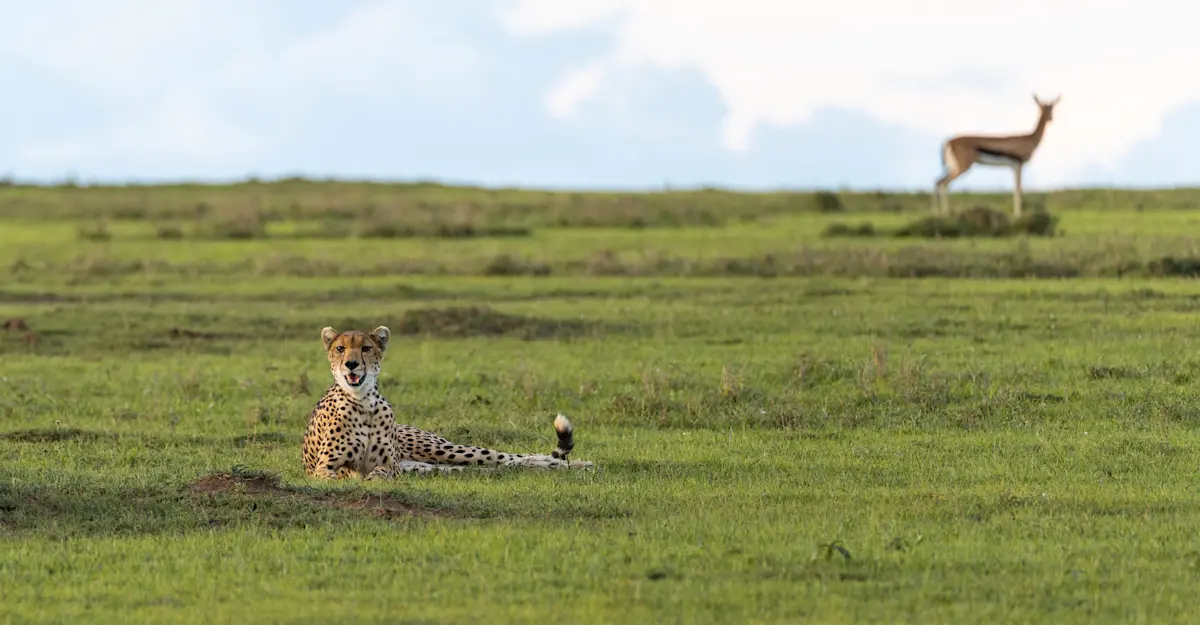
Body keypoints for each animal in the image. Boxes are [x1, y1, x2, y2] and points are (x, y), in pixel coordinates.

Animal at [302, 324, 594, 479]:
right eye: (340, 349)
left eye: (366, 348)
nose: (351, 364)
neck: (362, 401)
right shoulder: (323, 468)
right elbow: (340, 473)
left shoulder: (390, 464)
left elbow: (381, 472)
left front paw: (373, 479)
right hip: (431, 466)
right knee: (497, 466)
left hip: (442, 451)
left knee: (505, 457)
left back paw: (578, 464)